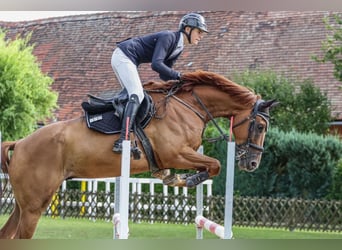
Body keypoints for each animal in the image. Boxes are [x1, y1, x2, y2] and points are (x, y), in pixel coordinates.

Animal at [0, 70, 276, 238]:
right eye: (261, 127)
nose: (253, 163)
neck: (189, 107)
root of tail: (20, 143)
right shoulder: (175, 154)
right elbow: (215, 164)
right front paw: (187, 180)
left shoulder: (178, 155)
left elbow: (209, 165)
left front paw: (174, 178)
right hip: (34, 205)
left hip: (25, 205)